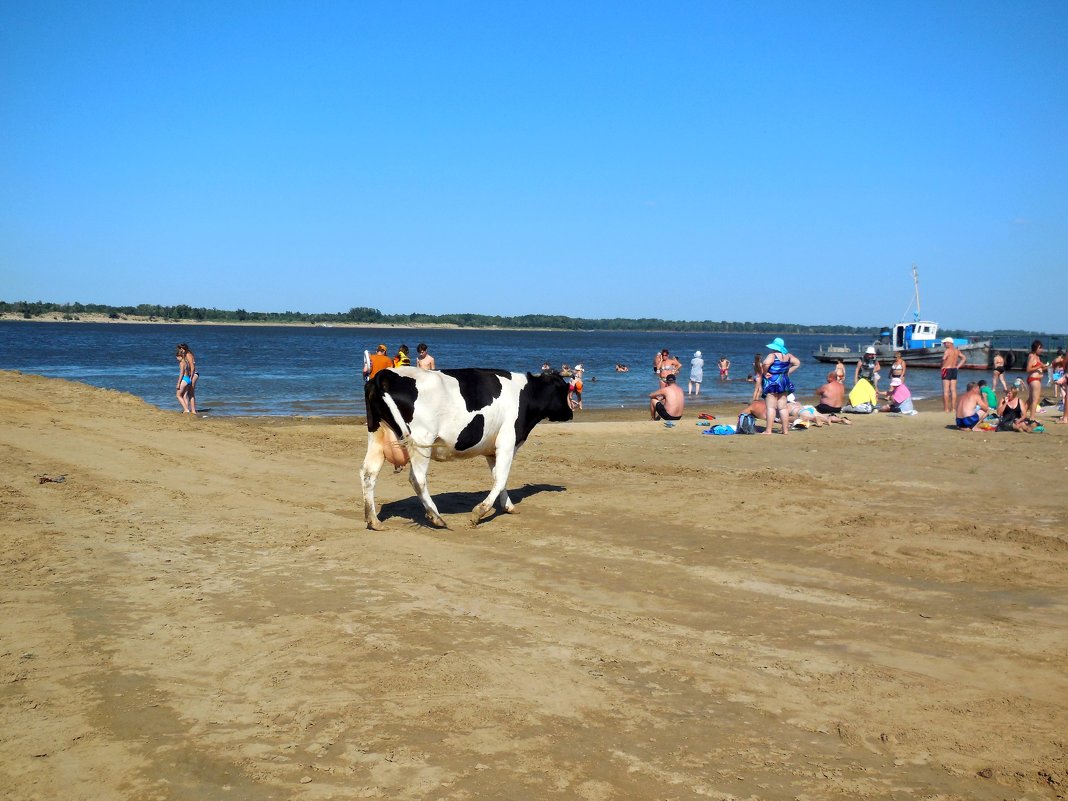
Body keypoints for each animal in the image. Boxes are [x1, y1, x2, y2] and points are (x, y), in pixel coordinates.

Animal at [358, 369, 572, 534]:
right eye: (564, 389)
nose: (571, 413)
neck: (525, 394)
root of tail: (385, 374)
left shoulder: (492, 450)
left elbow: (498, 478)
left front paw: (508, 506)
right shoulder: (507, 443)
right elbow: (502, 478)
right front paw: (480, 512)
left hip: (377, 436)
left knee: (368, 473)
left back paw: (373, 520)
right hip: (422, 439)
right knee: (417, 478)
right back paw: (435, 516)